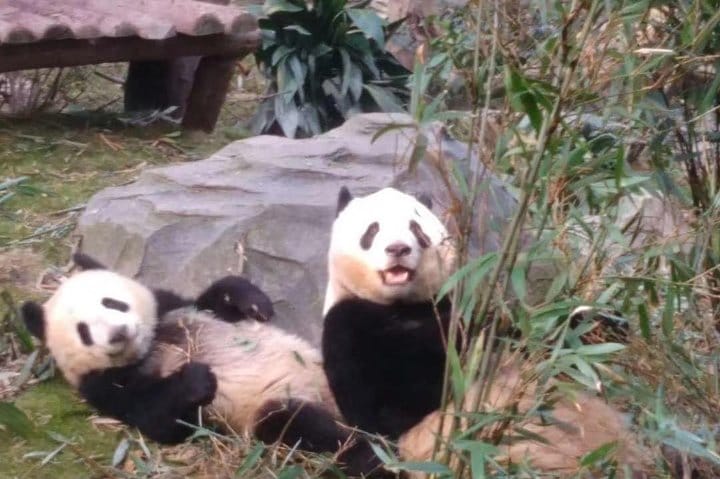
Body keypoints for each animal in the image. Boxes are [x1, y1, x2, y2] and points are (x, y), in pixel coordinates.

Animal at [21, 255, 385, 477]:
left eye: (112, 302)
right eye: (83, 331)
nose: (118, 333)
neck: (149, 348)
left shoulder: (172, 309)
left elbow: (209, 301)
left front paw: (251, 301)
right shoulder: (104, 387)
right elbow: (158, 419)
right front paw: (196, 379)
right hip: (274, 410)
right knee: (295, 423)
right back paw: (367, 454)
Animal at [321, 187, 655, 478]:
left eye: (416, 228)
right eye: (372, 230)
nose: (398, 249)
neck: (401, 305)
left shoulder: (466, 312)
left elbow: (536, 342)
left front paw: (603, 324)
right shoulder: (348, 328)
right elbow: (395, 403)